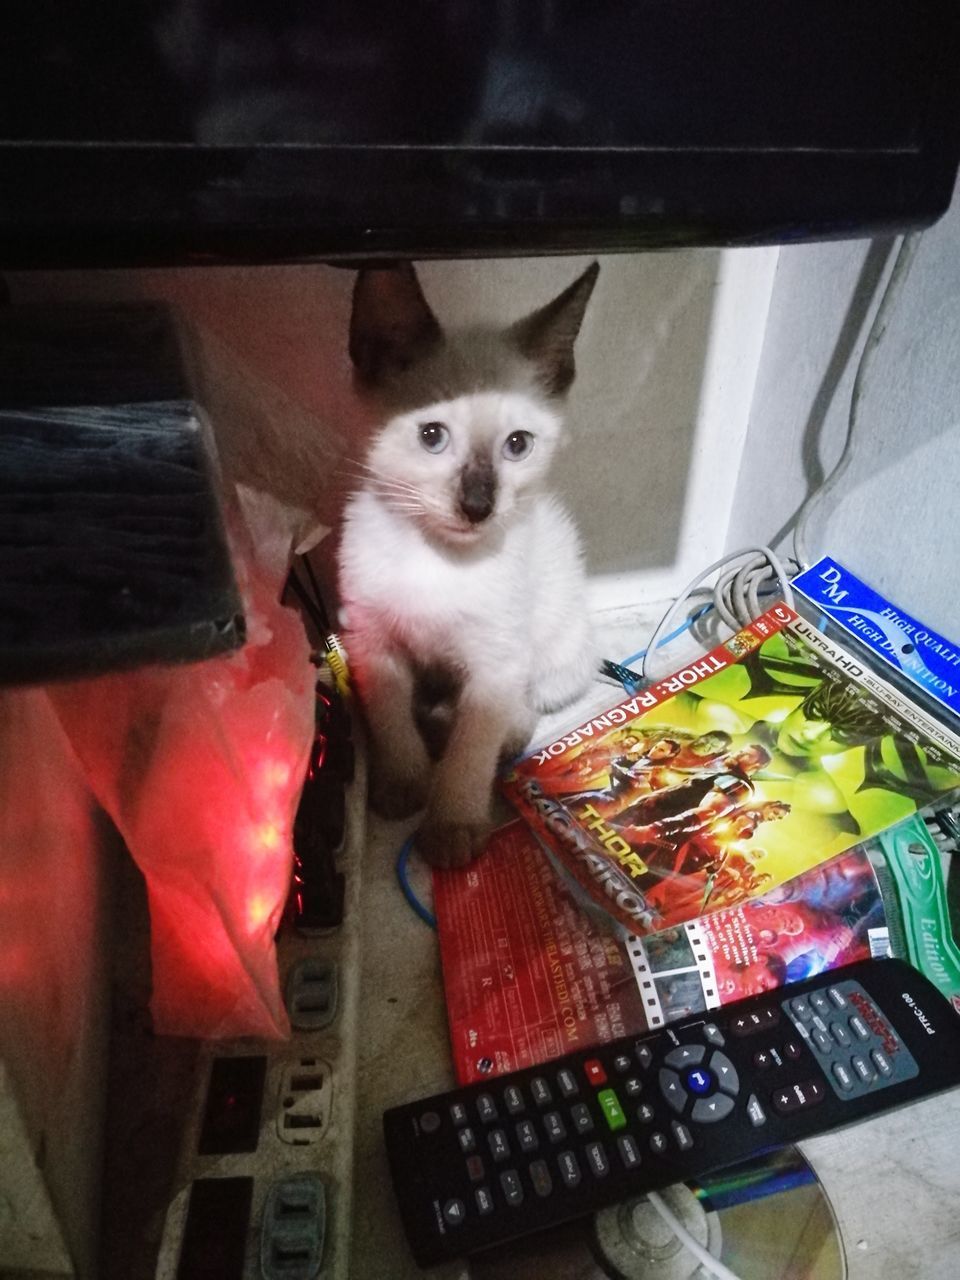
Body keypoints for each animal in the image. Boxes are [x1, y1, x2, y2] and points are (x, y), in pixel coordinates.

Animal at [335, 266, 599, 875]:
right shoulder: (372, 642)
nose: (478, 506)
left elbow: (470, 752)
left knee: (523, 705)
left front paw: (453, 828)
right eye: (432, 436)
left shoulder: (494, 664)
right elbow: (391, 721)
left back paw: (500, 735)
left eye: (517, 445)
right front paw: (402, 787)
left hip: (557, 660)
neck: (435, 556)